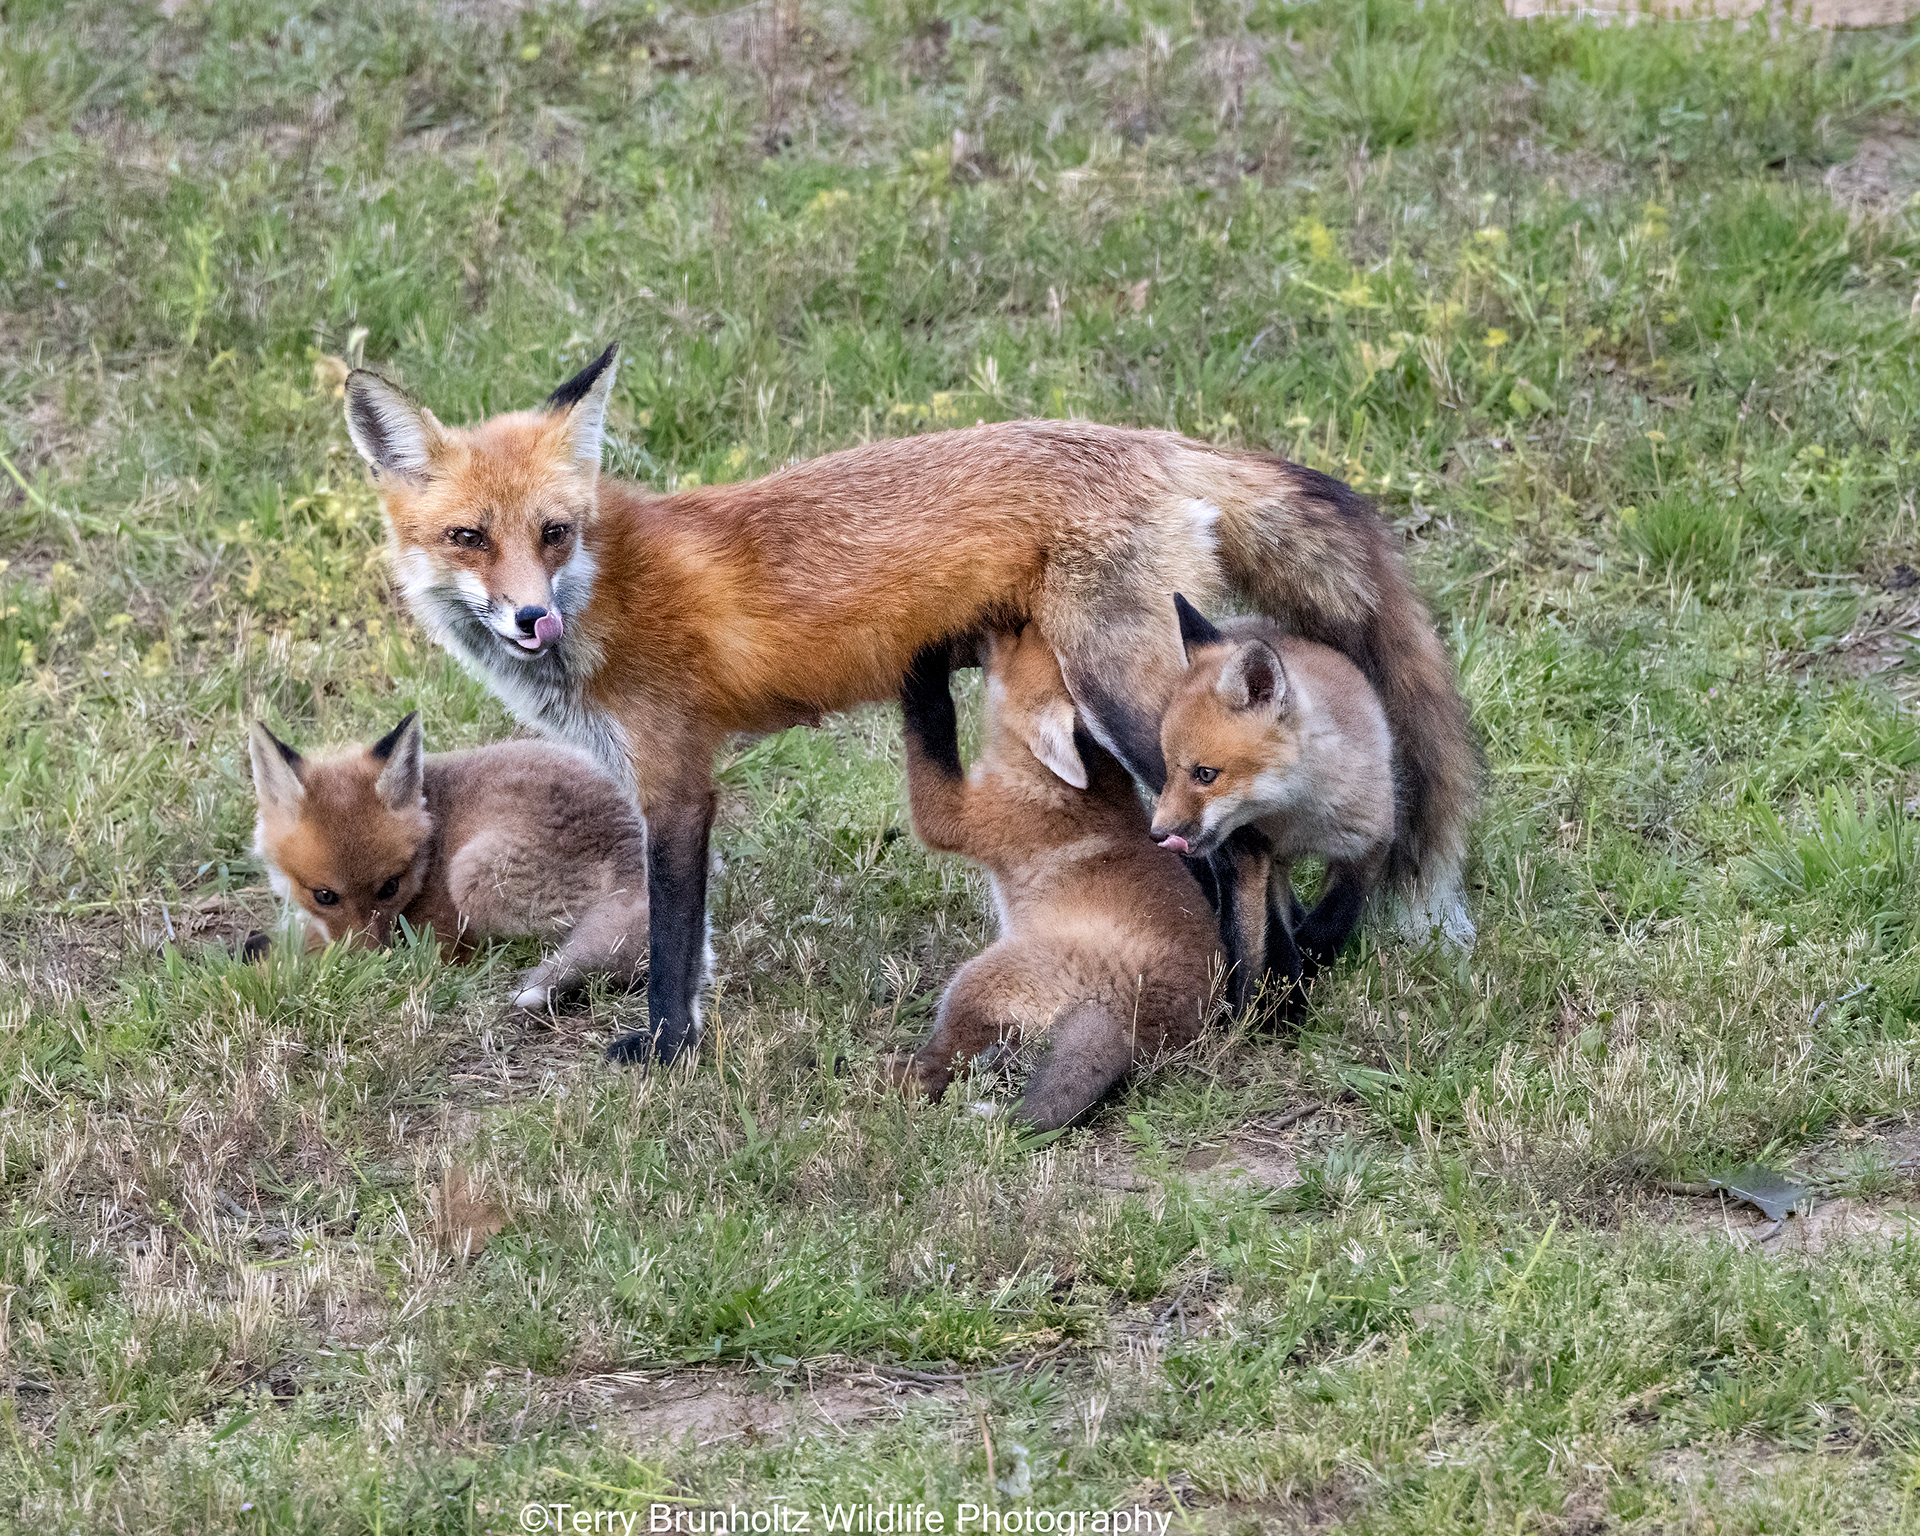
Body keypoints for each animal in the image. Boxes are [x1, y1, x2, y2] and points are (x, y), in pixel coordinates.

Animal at [893, 625, 1222, 1130]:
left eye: (1019, 635)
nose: (990, 624)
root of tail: (1130, 1028)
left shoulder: (956, 817)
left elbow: (931, 726)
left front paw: (923, 669)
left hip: (979, 978)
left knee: (935, 1069)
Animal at [1150, 595, 1399, 1003]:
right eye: (1168, 769)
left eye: (1205, 774)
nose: (1157, 834)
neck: (1301, 819)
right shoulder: (1263, 858)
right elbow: (1275, 936)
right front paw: (1286, 997)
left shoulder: (1371, 840)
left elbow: (1334, 917)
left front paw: (1310, 964)